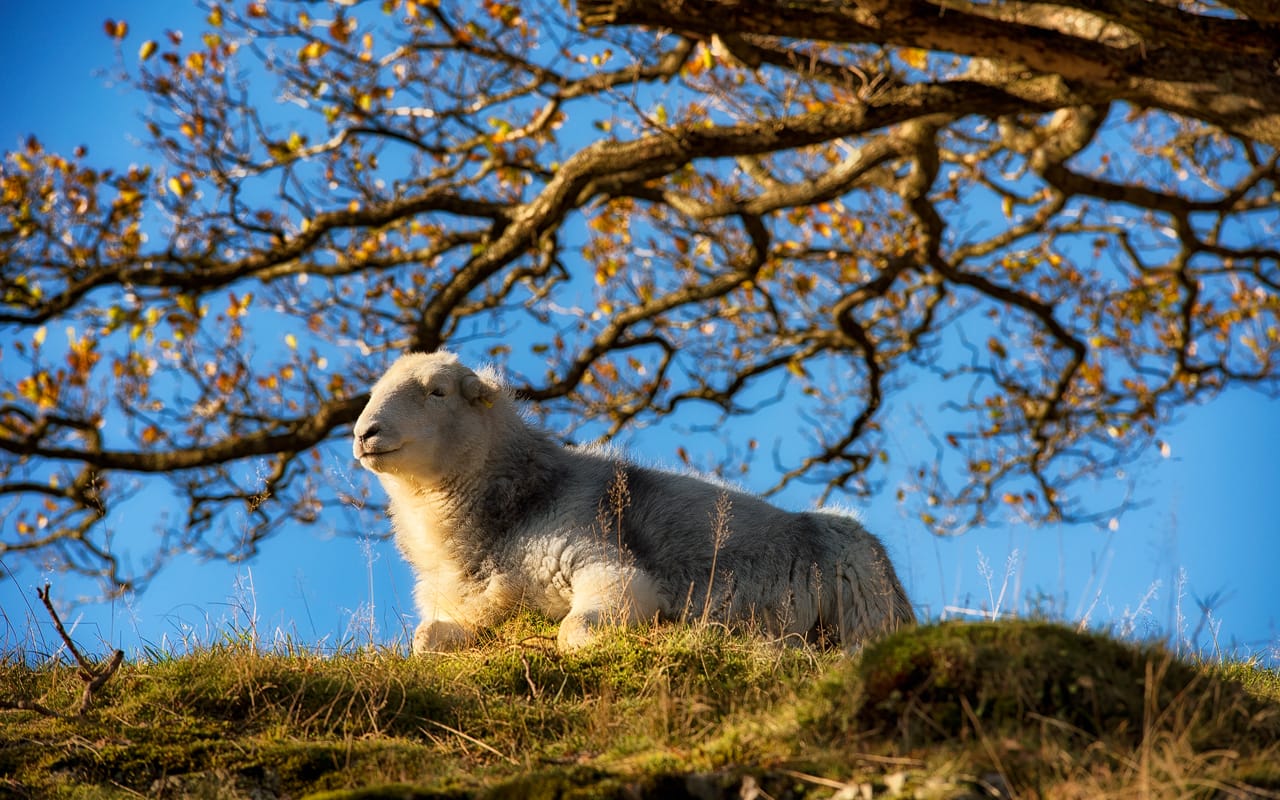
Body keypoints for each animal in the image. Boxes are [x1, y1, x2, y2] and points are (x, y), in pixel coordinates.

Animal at [350, 348, 911, 650]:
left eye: (437, 391)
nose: (363, 434)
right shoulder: (475, 610)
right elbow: (424, 642)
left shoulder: (608, 567)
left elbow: (574, 631)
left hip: (867, 605)